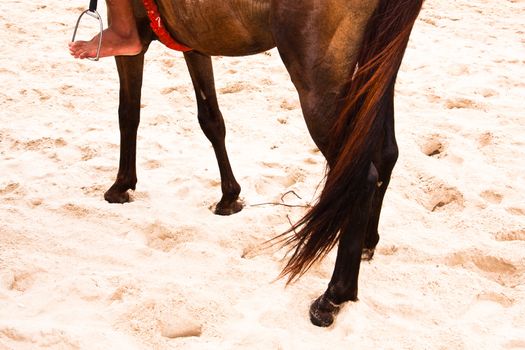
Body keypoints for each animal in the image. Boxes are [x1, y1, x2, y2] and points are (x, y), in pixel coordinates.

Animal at [102, 0, 422, 328]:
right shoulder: (195, 40)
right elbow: (210, 118)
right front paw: (229, 196)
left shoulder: (135, 45)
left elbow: (128, 112)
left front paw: (122, 184)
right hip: (377, 68)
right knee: (386, 155)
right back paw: (367, 243)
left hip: (320, 87)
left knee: (361, 175)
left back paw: (334, 295)